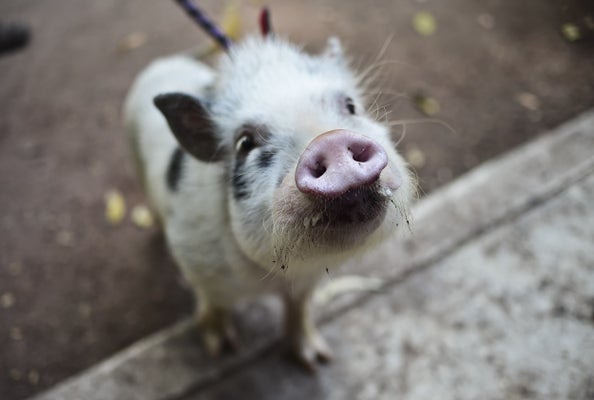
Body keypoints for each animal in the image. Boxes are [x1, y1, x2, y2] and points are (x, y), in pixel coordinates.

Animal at [123, 32, 414, 368]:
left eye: (351, 106)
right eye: (245, 143)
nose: (329, 139)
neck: (272, 278)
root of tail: (162, 62)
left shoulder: (308, 283)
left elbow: (299, 307)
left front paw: (317, 360)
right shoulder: (195, 260)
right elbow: (214, 304)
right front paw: (222, 350)